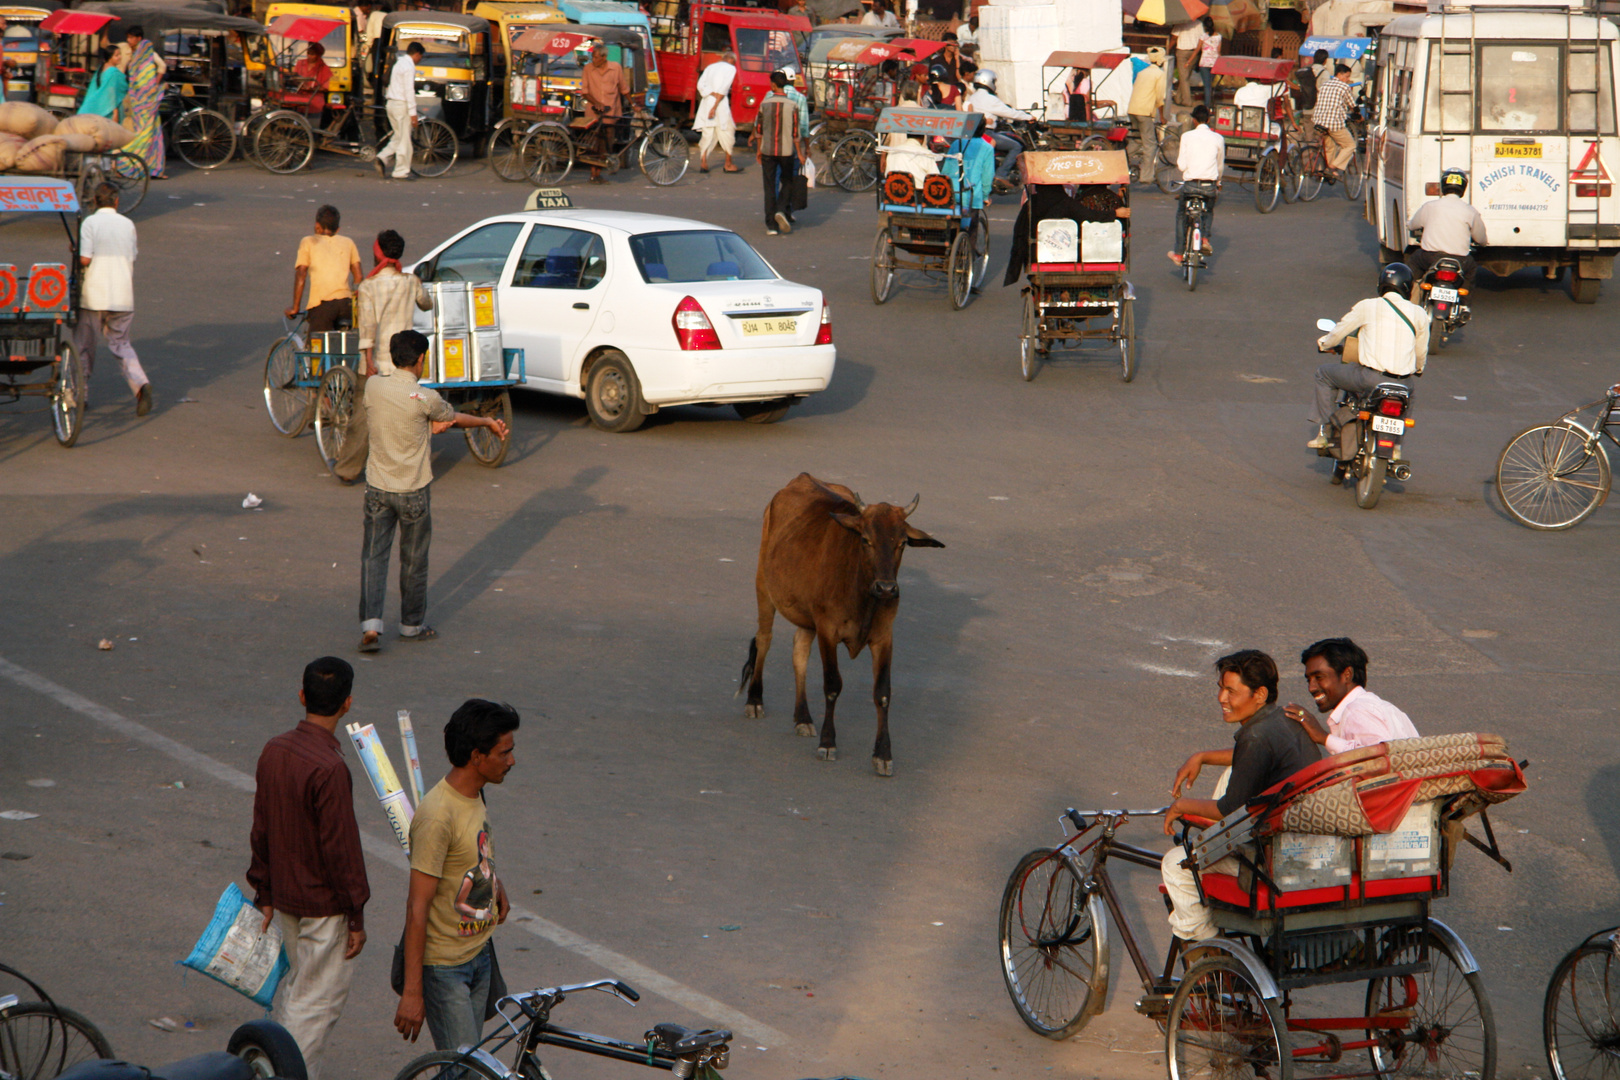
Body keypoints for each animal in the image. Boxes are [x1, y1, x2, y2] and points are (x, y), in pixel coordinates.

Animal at [741, 472, 946, 777]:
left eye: (902, 543)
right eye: (866, 539)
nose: (887, 588)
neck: (862, 594)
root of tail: (801, 478)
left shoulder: (884, 637)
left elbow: (882, 693)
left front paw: (883, 754)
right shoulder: (828, 630)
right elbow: (832, 685)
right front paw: (828, 743)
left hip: (806, 616)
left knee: (799, 652)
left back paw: (803, 717)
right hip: (763, 585)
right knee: (764, 639)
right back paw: (755, 700)